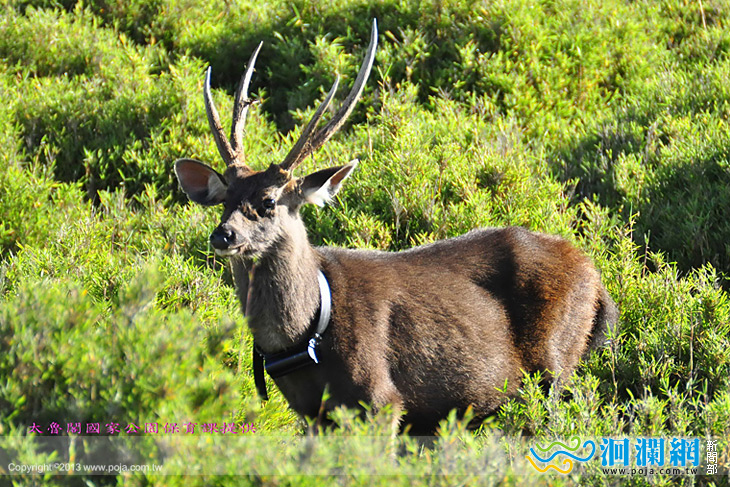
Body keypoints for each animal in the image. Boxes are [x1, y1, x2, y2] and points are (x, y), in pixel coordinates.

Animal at [174, 20, 618, 434]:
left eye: (268, 202)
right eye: (224, 200)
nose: (223, 235)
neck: (307, 334)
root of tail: (595, 277)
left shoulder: (381, 399)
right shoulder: (311, 414)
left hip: (554, 364)